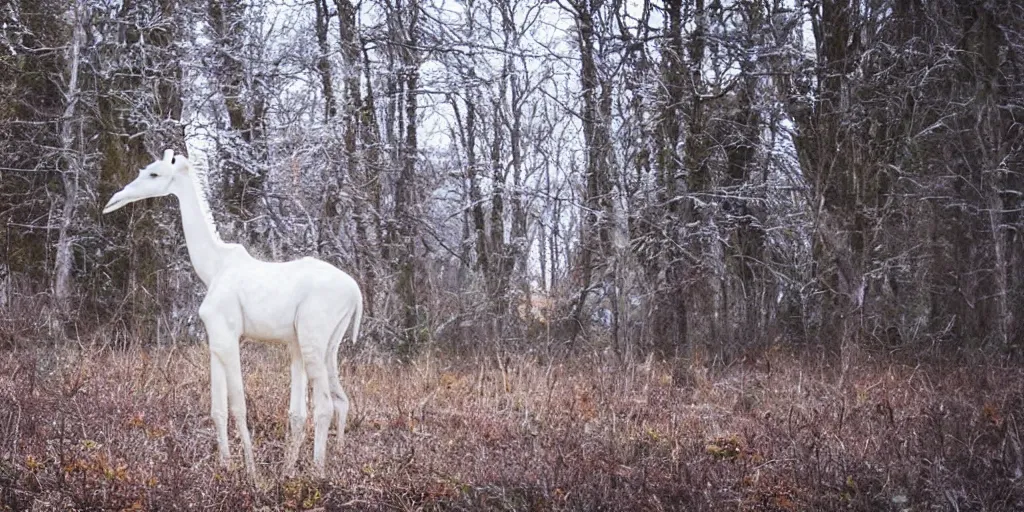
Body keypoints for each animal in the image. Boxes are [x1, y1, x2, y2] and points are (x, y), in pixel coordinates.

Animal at [105, 149, 362, 477]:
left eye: (154, 174)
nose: (115, 198)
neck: (211, 267)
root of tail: (356, 294)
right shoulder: (214, 341)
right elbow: (218, 409)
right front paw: (225, 466)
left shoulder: (228, 335)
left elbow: (238, 405)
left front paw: (251, 473)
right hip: (323, 344)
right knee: (335, 402)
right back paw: (298, 469)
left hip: (312, 339)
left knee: (326, 405)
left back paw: (317, 473)